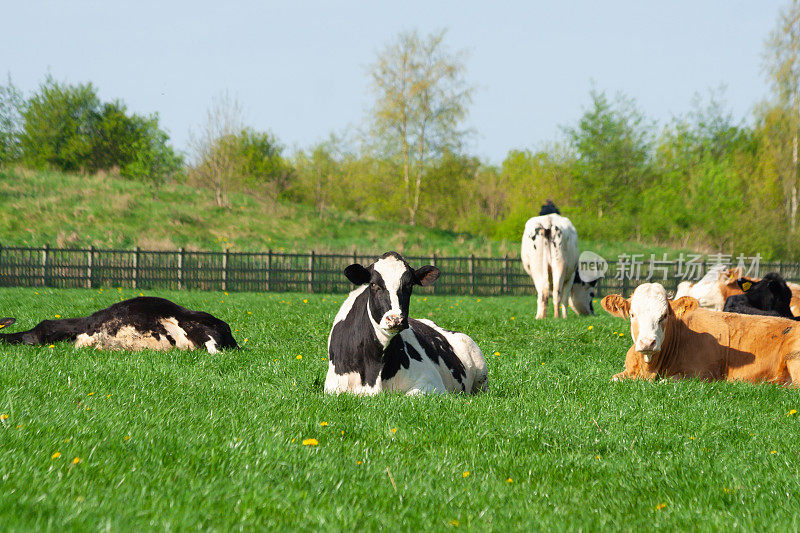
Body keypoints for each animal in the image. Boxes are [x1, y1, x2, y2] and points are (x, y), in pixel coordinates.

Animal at [324, 250, 488, 394]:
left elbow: (411, 394)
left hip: (481, 374)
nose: (395, 319)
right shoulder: (332, 388)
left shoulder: (432, 382)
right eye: (373, 284)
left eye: (409, 285)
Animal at [604, 282, 800, 382]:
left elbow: (669, 380)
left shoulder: (703, 374)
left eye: (664, 315)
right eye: (632, 314)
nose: (647, 343)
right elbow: (614, 378)